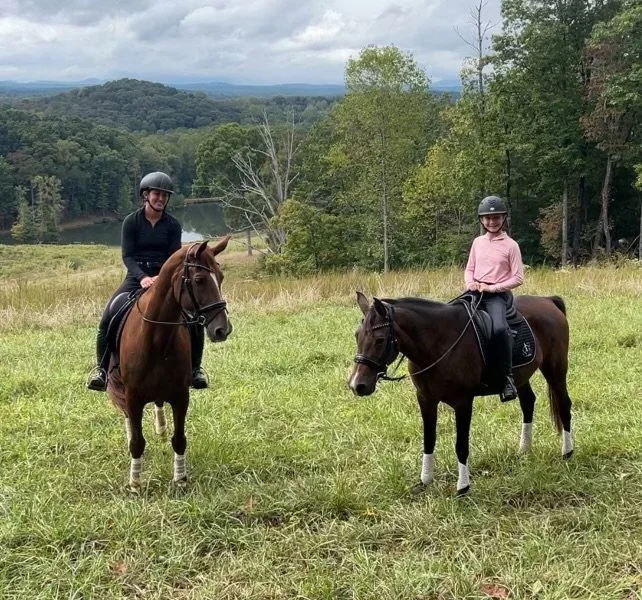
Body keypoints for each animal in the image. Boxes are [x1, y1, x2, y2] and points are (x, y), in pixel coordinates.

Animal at [107, 237, 232, 492]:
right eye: (199, 280)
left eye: (221, 277)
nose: (222, 330)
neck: (157, 338)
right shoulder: (133, 396)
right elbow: (137, 442)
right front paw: (135, 484)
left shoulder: (180, 396)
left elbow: (180, 439)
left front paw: (180, 479)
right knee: (128, 417)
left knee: (158, 404)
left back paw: (161, 429)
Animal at [348, 291, 573, 495]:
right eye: (357, 335)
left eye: (379, 339)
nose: (357, 385)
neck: (438, 342)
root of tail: (548, 301)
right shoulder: (425, 399)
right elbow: (428, 440)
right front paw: (424, 481)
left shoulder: (463, 402)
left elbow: (461, 445)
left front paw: (463, 488)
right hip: (521, 376)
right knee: (528, 403)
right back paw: (524, 450)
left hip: (555, 369)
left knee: (564, 405)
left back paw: (567, 453)